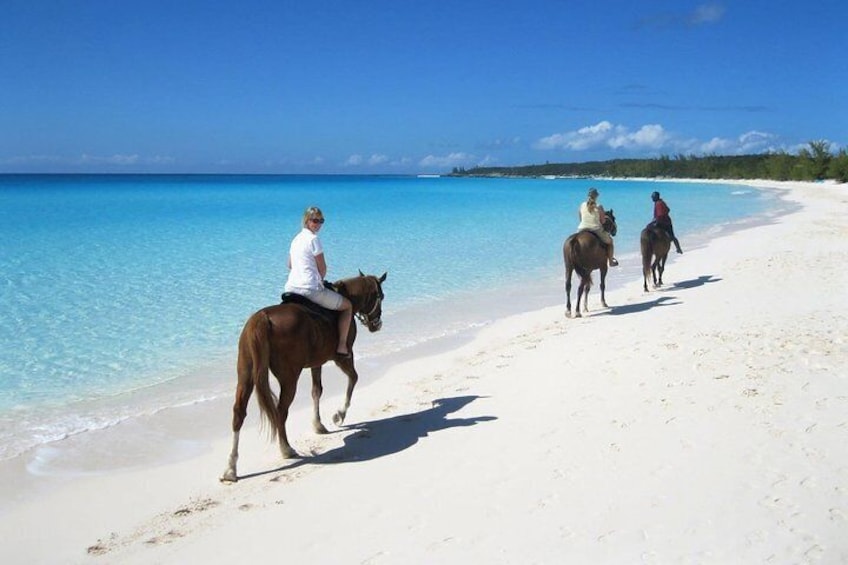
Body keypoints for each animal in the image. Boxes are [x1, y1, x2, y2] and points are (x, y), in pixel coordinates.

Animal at [222, 270, 388, 482]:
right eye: (380, 296)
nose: (377, 324)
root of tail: (262, 318)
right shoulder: (343, 357)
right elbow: (353, 379)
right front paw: (339, 415)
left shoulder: (316, 363)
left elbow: (316, 391)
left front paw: (318, 425)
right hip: (289, 377)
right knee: (280, 411)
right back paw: (286, 449)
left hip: (245, 374)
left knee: (239, 412)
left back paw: (231, 467)